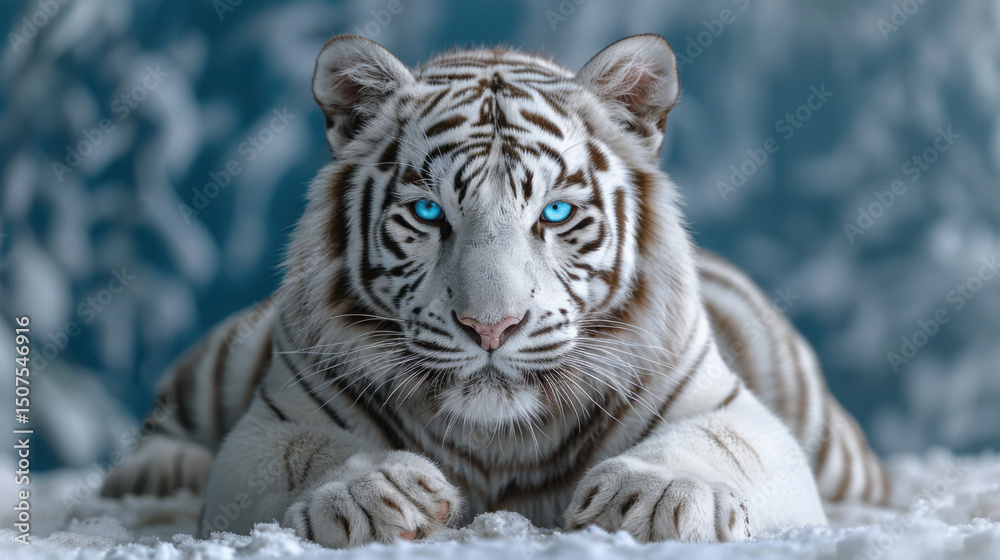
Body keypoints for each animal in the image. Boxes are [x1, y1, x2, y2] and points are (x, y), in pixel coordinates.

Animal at [101, 34, 888, 546]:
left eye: (557, 213)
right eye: (428, 214)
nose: (491, 328)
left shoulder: (738, 415)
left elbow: (718, 444)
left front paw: (661, 496)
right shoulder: (267, 428)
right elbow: (306, 453)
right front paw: (373, 492)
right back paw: (157, 471)